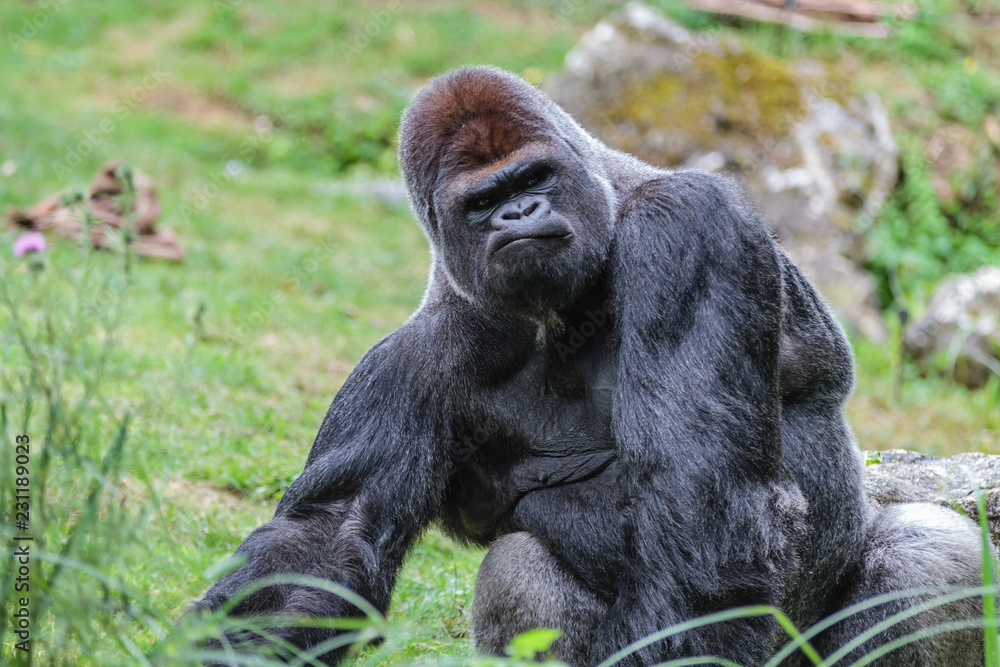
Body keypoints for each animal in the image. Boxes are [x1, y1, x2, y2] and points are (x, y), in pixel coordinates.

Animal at [195, 65, 984, 664]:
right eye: (484, 201)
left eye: (533, 177)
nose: (519, 215)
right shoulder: (413, 361)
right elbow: (332, 538)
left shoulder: (686, 224)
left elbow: (703, 512)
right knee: (519, 566)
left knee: (930, 550)